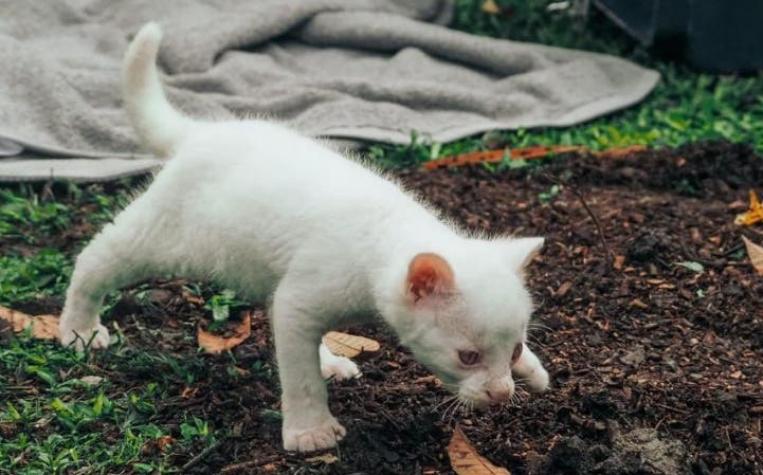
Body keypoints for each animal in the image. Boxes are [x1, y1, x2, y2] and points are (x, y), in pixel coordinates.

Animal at [58, 22, 548, 454]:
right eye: (468, 357)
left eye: (513, 348)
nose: (501, 395)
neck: (390, 232)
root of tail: (206, 132)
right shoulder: (302, 297)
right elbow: (300, 376)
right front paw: (311, 432)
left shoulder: (297, 298)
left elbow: (294, 342)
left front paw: (534, 371)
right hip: (166, 238)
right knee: (96, 256)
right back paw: (79, 328)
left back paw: (328, 359)